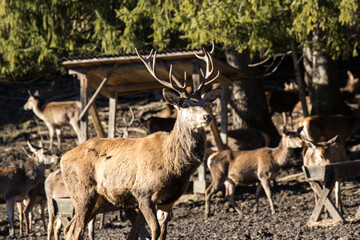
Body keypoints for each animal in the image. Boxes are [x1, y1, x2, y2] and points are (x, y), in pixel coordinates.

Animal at [60, 43, 221, 240]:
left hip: (98, 199)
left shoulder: (169, 200)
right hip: (82, 191)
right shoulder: (143, 192)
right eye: (185, 105)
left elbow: (163, 232)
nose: (208, 116)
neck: (175, 167)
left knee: (71, 228)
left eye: (204, 103)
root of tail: (63, 157)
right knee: (75, 229)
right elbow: (155, 230)